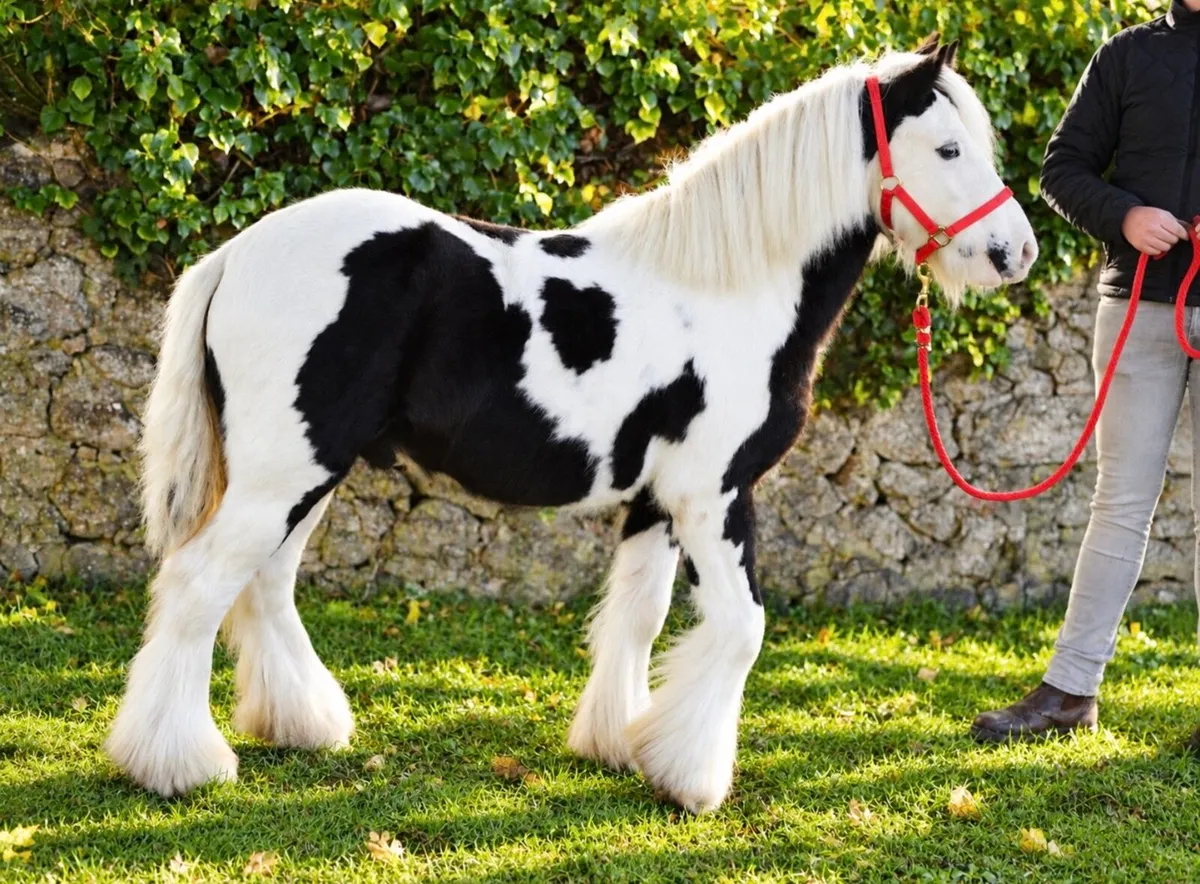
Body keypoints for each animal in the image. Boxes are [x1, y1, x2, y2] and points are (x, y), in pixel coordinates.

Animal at [105, 36, 1037, 812]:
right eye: (949, 150)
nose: (1015, 253)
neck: (731, 287)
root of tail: (237, 253)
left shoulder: (658, 503)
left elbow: (638, 618)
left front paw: (621, 745)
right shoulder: (714, 495)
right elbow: (741, 629)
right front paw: (692, 782)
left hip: (307, 473)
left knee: (262, 586)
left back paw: (301, 726)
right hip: (285, 474)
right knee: (198, 587)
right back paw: (176, 765)